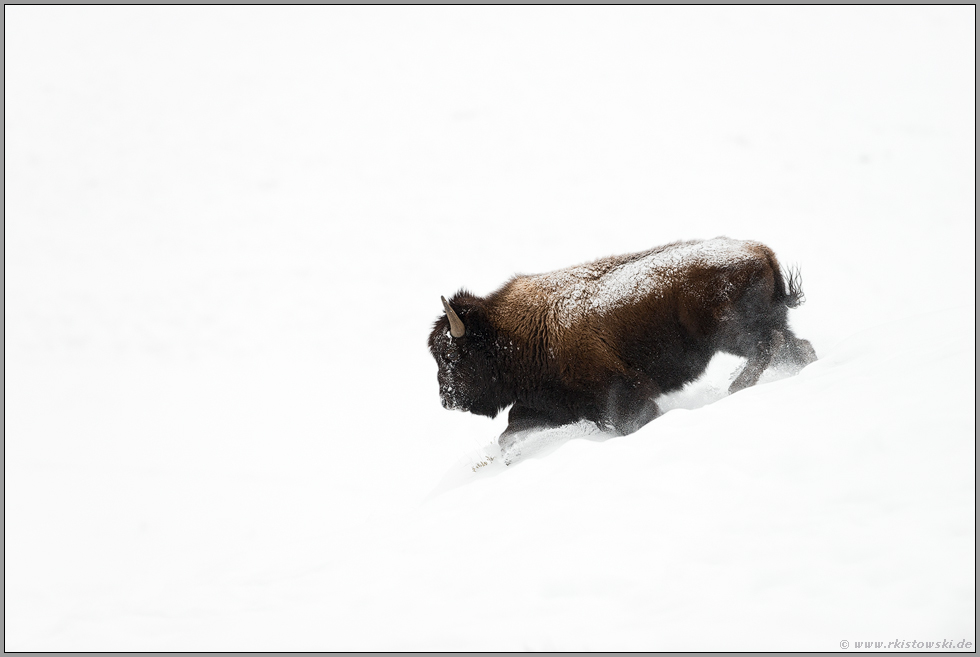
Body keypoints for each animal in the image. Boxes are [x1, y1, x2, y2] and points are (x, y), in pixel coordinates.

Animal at [428, 237, 816, 460]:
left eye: (451, 355)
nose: (446, 399)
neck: (509, 332)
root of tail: (761, 252)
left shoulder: (622, 393)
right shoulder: (555, 405)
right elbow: (510, 432)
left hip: (732, 334)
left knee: (767, 347)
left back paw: (733, 388)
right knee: (795, 347)